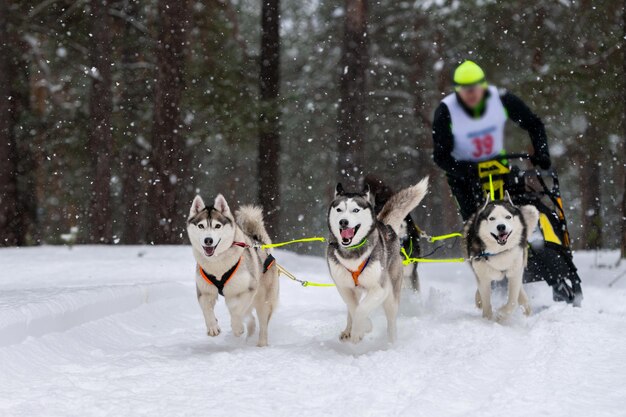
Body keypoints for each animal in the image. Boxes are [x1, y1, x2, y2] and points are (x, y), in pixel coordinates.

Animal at [185, 193, 278, 346]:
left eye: (217, 226)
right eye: (201, 226)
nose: (208, 240)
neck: (217, 265)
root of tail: (260, 242)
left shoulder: (247, 289)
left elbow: (236, 310)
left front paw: (237, 327)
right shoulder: (204, 291)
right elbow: (206, 309)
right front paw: (213, 327)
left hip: (263, 301)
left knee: (262, 322)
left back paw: (261, 344)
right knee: (250, 317)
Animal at [324, 177, 426, 342]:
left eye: (355, 210)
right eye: (339, 209)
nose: (343, 222)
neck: (353, 252)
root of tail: (386, 225)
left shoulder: (380, 289)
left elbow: (361, 309)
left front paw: (360, 330)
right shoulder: (344, 287)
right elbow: (354, 308)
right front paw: (361, 328)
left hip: (392, 294)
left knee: (391, 320)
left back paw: (391, 342)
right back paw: (348, 330)